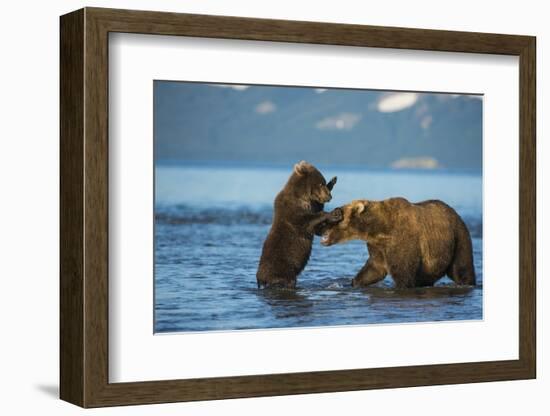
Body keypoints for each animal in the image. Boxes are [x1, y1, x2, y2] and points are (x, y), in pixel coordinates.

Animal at [258, 160, 340, 290]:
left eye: (323, 182)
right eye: (320, 183)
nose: (329, 197)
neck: (303, 197)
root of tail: (260, 279)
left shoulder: (311, 205)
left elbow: (317, 228)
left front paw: (333, 180)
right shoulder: (292, 210)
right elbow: (307, 222)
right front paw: (334, 213)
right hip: (282, 270)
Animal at [322, 198, 476, 290]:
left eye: (337, 212)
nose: (323, 223)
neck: (379, 228)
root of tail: (454, 212)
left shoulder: (402, 241)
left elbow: (403, 273)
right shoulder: (378, 246)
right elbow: (375, 268)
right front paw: (354, 282)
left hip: (458, 237)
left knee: (461, 267)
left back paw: (467, 282)